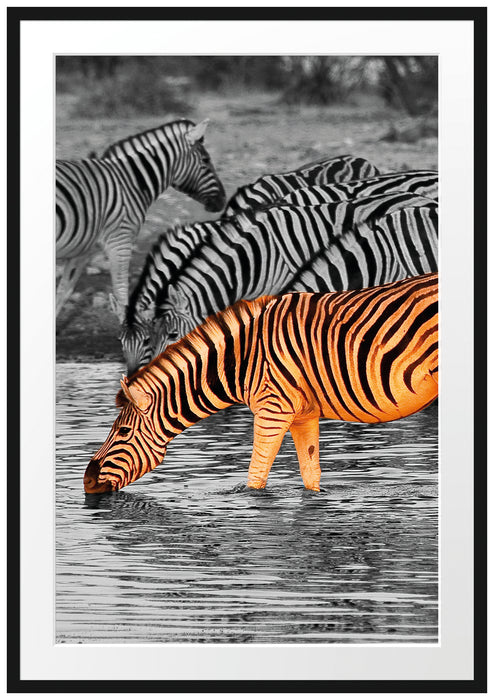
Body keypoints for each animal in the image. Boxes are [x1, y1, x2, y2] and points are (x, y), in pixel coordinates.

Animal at [56, 118, 226, 321]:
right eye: (206, 160)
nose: (223, 200)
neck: (129, 182)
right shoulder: (120, 241)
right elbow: (121, 297)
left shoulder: (84, 251)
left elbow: (63, 293)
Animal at [84, 272, 438, 494]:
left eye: (123, 432)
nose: (87, 482)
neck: (241, 360)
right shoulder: (303, 415)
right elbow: (311, 477)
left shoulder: (272, 409)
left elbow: (255, 479)